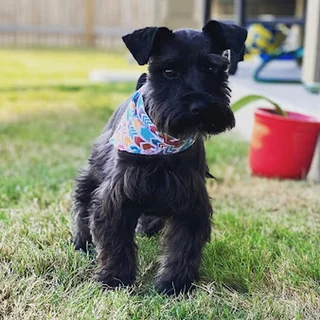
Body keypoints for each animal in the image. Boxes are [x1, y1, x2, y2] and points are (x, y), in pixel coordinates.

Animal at [72, 19, 248, 296]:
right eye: (169, 71)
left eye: (212, 68)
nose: (199, 107)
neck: (163, 143)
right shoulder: (115, 199)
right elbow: (115, 244)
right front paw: (115, 279)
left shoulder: (190, 203)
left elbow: (183, 247)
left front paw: (174, 285)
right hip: (93, 173)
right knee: (82, 200)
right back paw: (81, 241)